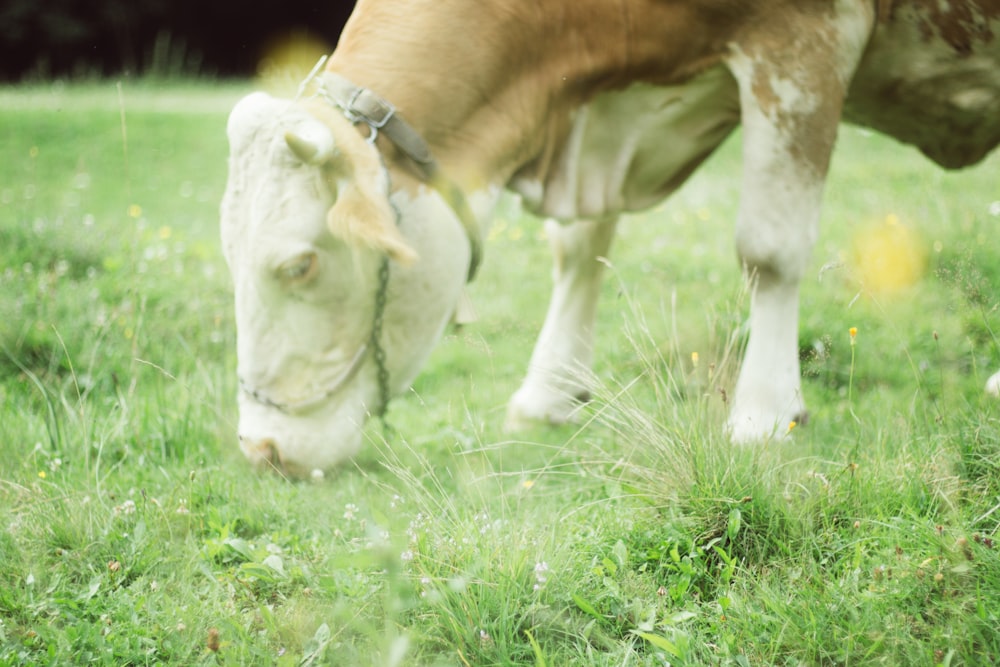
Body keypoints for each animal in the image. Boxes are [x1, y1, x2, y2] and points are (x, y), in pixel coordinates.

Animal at [223, 1, 1000, 480]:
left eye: (300, 264)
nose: (261, 448)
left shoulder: (802, 47)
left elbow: (770, 250)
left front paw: (763, 414)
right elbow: (578, 248)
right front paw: (550, 391)